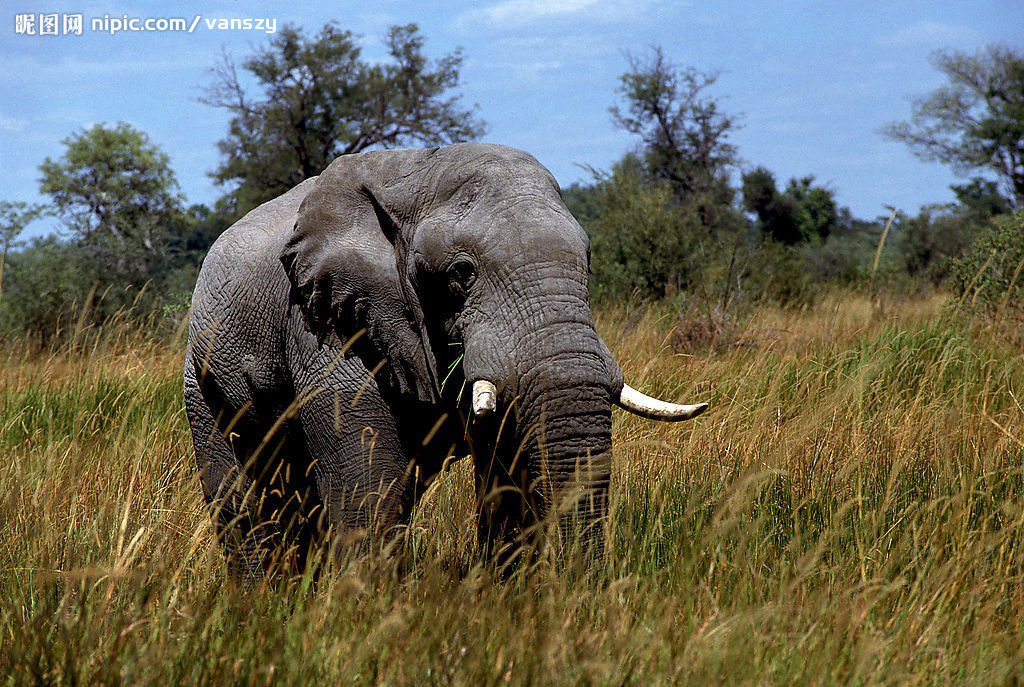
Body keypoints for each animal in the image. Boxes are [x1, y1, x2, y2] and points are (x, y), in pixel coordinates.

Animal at [182, 142, 704, 577]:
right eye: (462, 273)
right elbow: (367, 491)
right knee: (244, 506)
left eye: (588, 259)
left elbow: (505, 478)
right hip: (202, 383)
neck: (417, 175)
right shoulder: (328, 320)